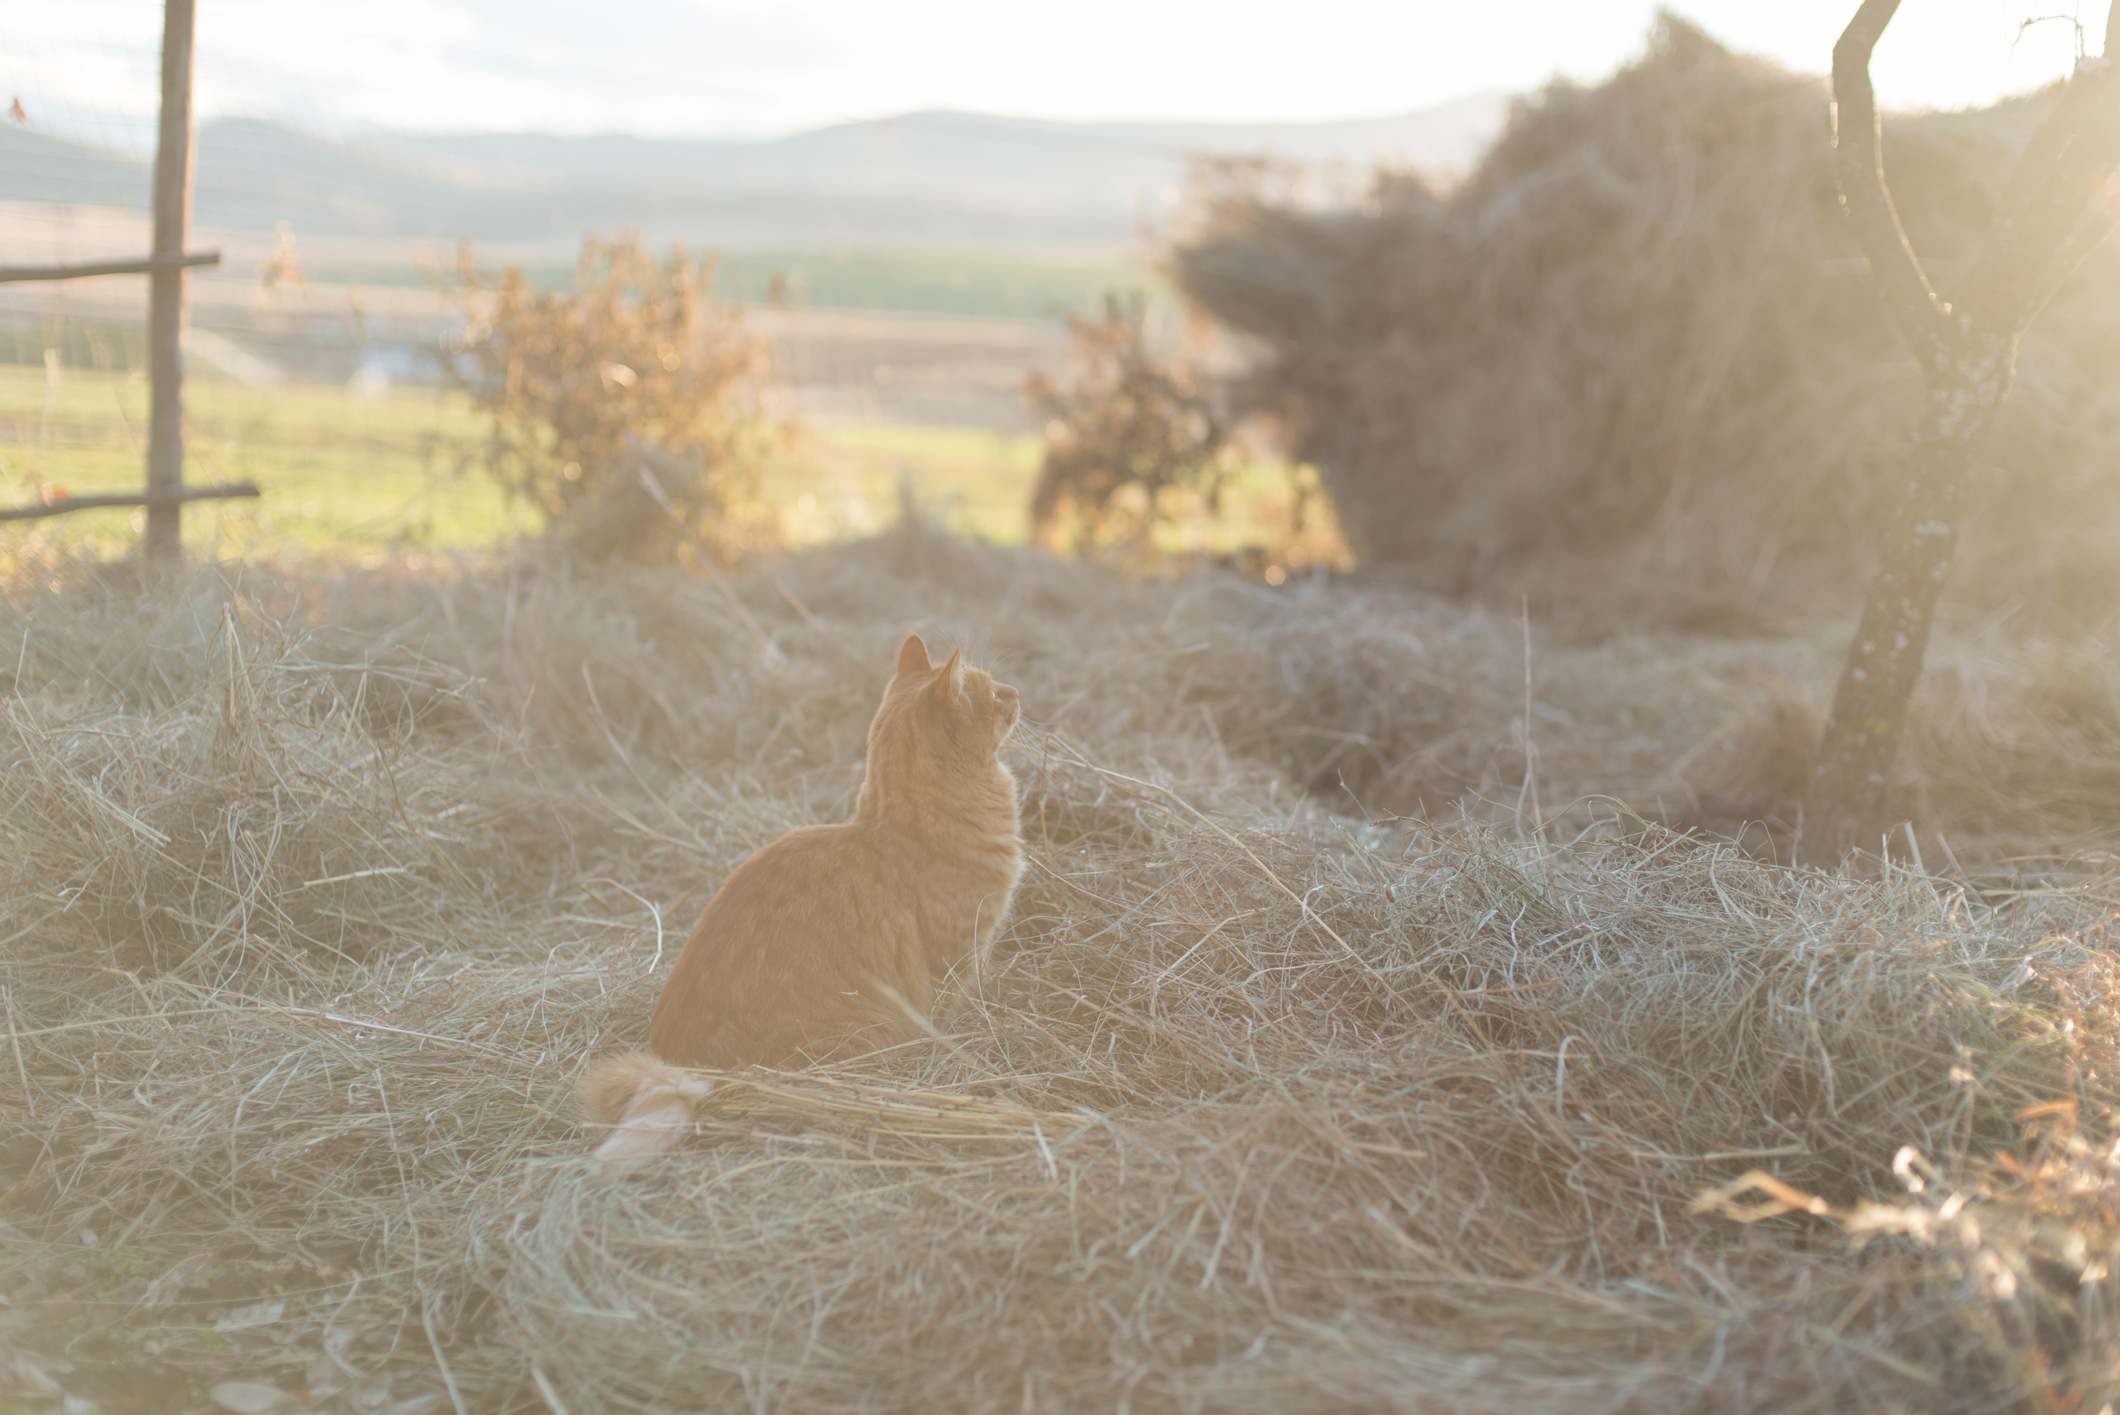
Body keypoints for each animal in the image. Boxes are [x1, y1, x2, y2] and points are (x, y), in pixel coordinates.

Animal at [572, 632, 1017, 1162]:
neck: (898, 822)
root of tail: (680, 1062)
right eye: (993, 694)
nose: (1016, 693)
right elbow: (947, 1019)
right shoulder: (953, 960)